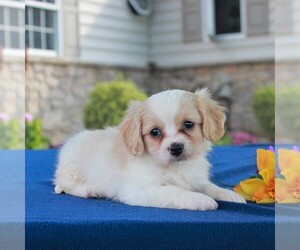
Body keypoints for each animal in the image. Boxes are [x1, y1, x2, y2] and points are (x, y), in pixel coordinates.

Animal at [54, 89, 246, 210]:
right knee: (66, 184)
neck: (175, 168)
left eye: (188, 124)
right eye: (155, 132)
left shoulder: (197, 179)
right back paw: (89, 190)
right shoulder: (139, 189)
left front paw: (230, 195)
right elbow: (174, 190)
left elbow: (210, 186)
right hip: (72, 170)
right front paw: (199, 199)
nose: (176, 148)